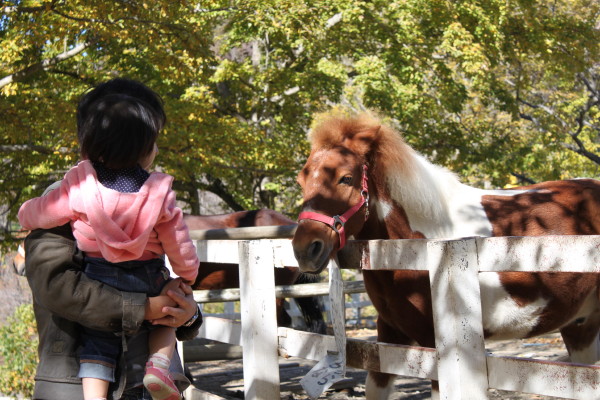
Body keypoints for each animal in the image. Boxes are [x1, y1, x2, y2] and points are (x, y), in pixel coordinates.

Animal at [292, 113, 600, 400]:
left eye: (346, 178)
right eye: (302, 179)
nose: (305, 249)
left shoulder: (436, 347)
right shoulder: (389, 334)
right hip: (580, 327)